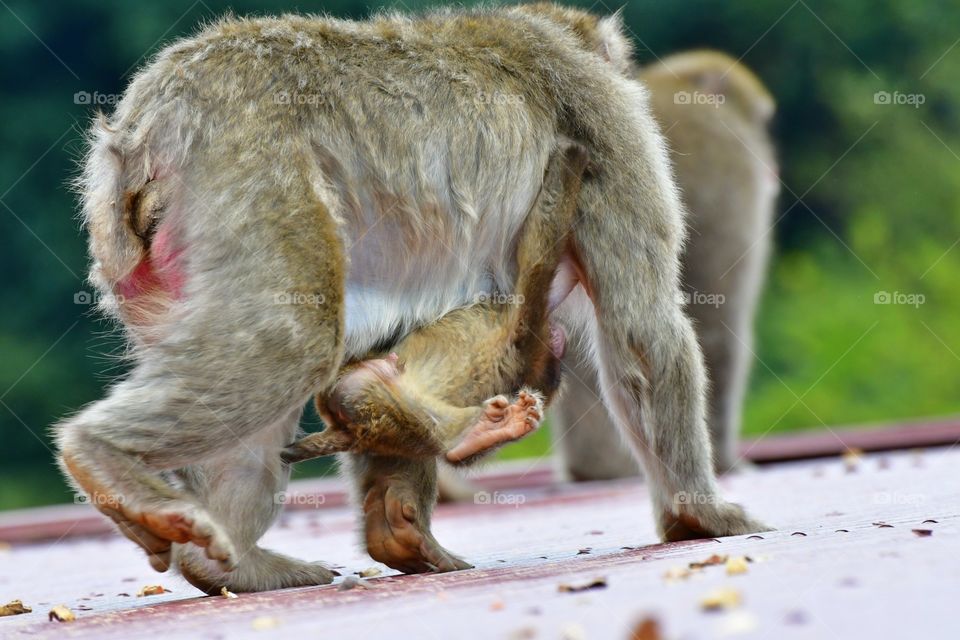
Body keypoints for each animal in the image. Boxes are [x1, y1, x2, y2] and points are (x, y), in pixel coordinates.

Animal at [282, 142, 588, 468]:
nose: (558, 338)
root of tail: (348, 431)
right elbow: (545, 263)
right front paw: (573, 160)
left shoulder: (525, 326)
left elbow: (540, 256)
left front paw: (571, 160)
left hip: (361, 397)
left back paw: (468, 437)